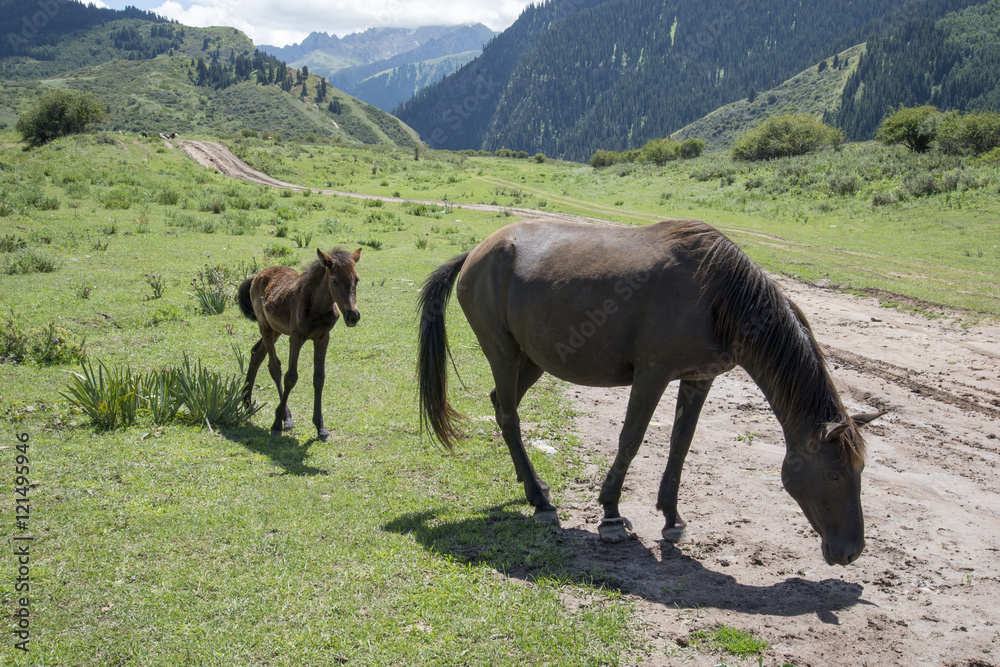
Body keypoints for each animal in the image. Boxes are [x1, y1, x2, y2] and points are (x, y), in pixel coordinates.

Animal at [238, 248, 364, 440]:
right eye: (334, 281)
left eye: (356, 280)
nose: (353, 316)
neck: (317, 308)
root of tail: (257, 275)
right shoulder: (296, 337)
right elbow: (291, 377)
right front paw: (276, 424)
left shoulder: (323, 338)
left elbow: (319, 378)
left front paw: (320, 427)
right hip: (264, 325)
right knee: (274, 366)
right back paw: (284, 417)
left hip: (276, 329)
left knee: (257, 354)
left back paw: (247, 402)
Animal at [418, 222, 888, 568]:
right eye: (834, 474)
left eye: (862, 471)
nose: (852, 551)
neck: (718, 293)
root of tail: (477, 252)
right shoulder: (652, 374)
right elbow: (631, 439)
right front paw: (610, 514)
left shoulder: (698, 379)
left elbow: (680, 445)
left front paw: (672, 517)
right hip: (502, 351)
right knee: (510, 417)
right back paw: (539, 500)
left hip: (531, 359)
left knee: (502, 405)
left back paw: (532, 485)